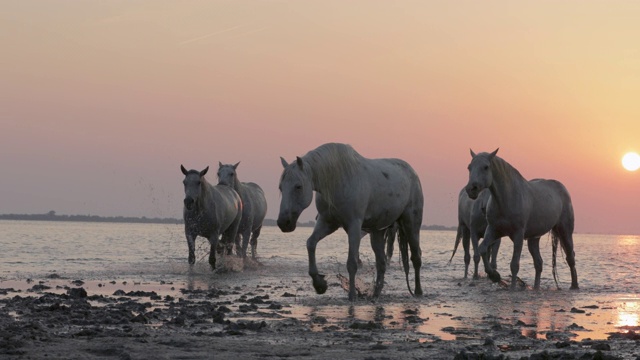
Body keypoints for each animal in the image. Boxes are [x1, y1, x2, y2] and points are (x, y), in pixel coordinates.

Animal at [276, 143, 422, 300]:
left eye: (298, 186)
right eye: (281, 187)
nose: (283, 222)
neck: (338, 180)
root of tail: (412, 173)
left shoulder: (354, 225)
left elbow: (352, 262)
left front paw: (352, 295)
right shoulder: (327, 223)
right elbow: (311, 243)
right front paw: (319, 284)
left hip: (411, 225)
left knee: (416, 257)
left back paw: (418, 291)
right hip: (377, 231)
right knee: (381, 263)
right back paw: (375, 294)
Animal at [464, 149, 580, 290]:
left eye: (486, 167)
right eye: (469, 167)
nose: (471, 189)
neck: (506, 199)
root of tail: (562, 188)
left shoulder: (518, 234)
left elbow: (514, 264)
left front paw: (513, 288)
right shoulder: (493, 230)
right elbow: (482, 249)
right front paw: (494, 276)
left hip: (565, 232)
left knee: (570, 257)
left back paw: (574, 285)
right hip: (534, 239)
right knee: (538, 263)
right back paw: (536, 288)